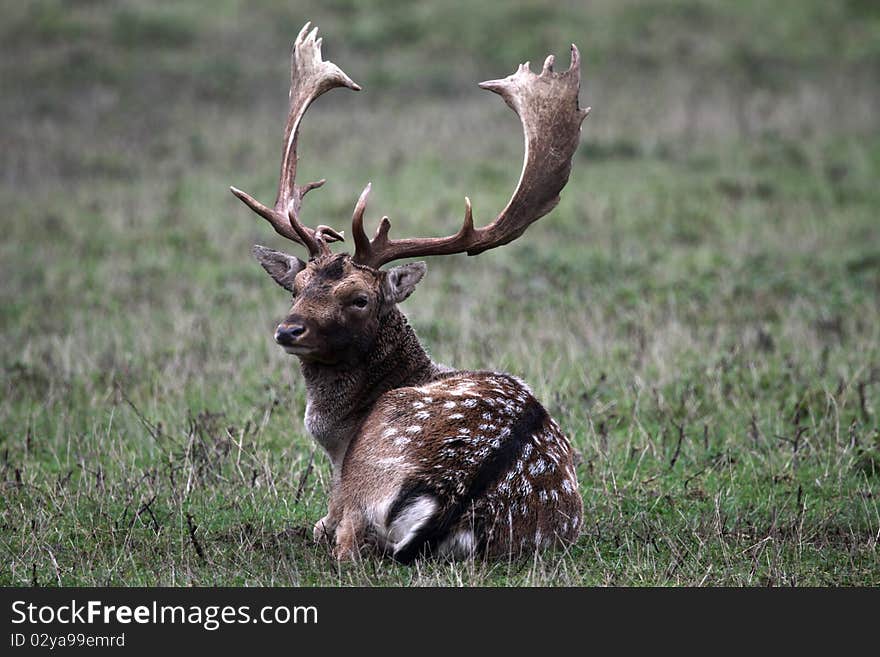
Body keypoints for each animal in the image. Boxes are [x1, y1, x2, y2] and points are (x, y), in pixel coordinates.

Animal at [232, 23, 592, 560]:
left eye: (360, 299)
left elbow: (321, 525)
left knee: (347, 546)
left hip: (368, 477)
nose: (288, 330)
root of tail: (449, 501)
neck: (338, 437)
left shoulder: (338, 489)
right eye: (295, 286)